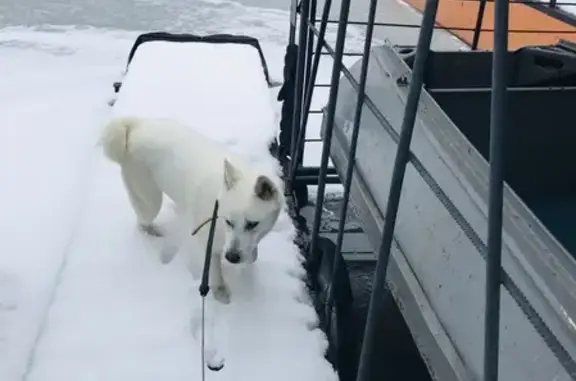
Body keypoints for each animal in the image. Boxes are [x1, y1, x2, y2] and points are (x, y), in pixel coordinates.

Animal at [103, 116, 286, 302]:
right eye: (228, 221)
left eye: (252, 224)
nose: (231, 257)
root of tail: (134, 126)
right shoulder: (209, 239)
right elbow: (214, 267)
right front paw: (220, 290)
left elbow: (252, 253)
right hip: (150, 200)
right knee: (142, 222)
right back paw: (153, 231)